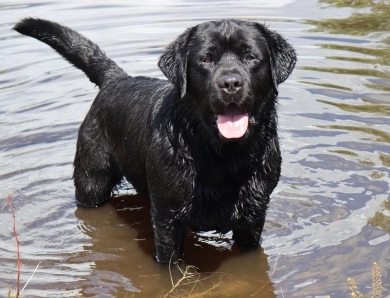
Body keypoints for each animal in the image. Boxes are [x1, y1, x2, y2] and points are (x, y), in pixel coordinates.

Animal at [14, 17, 296, 262]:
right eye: (206, 59)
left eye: (250, 57)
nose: (231, 83)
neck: (223, 156)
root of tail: (116, 79)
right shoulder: (167, 219)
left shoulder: (254, 218)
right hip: (91, 180)